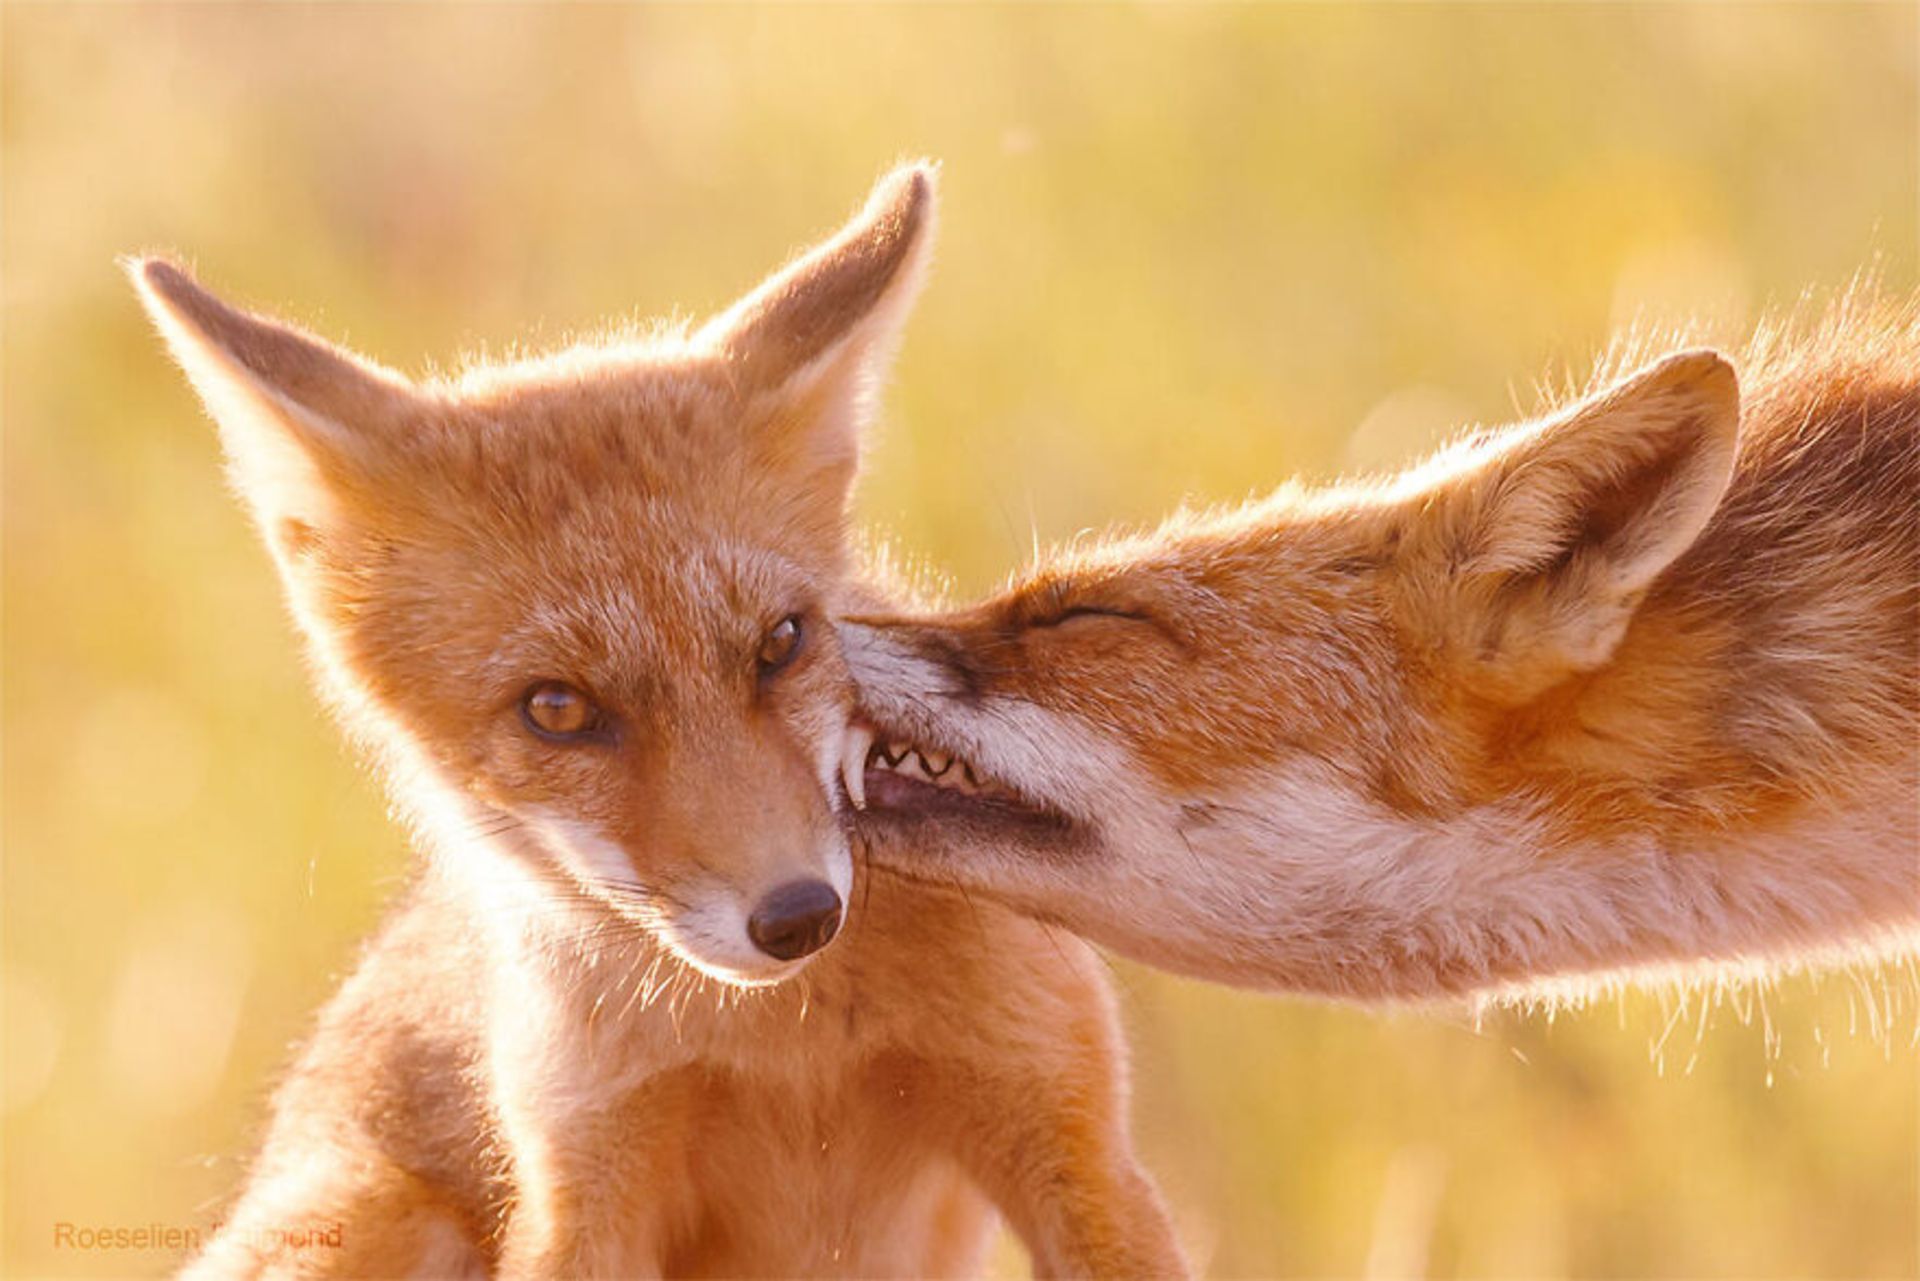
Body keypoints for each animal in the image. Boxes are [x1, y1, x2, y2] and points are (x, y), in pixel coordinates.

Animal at [135, 169, 1182, 1281]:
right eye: (557, 709)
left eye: (781, 642)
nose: (799, 915)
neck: (791, 1045)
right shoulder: (585, 1185)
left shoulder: (1071, 1135)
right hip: (368, 1213)